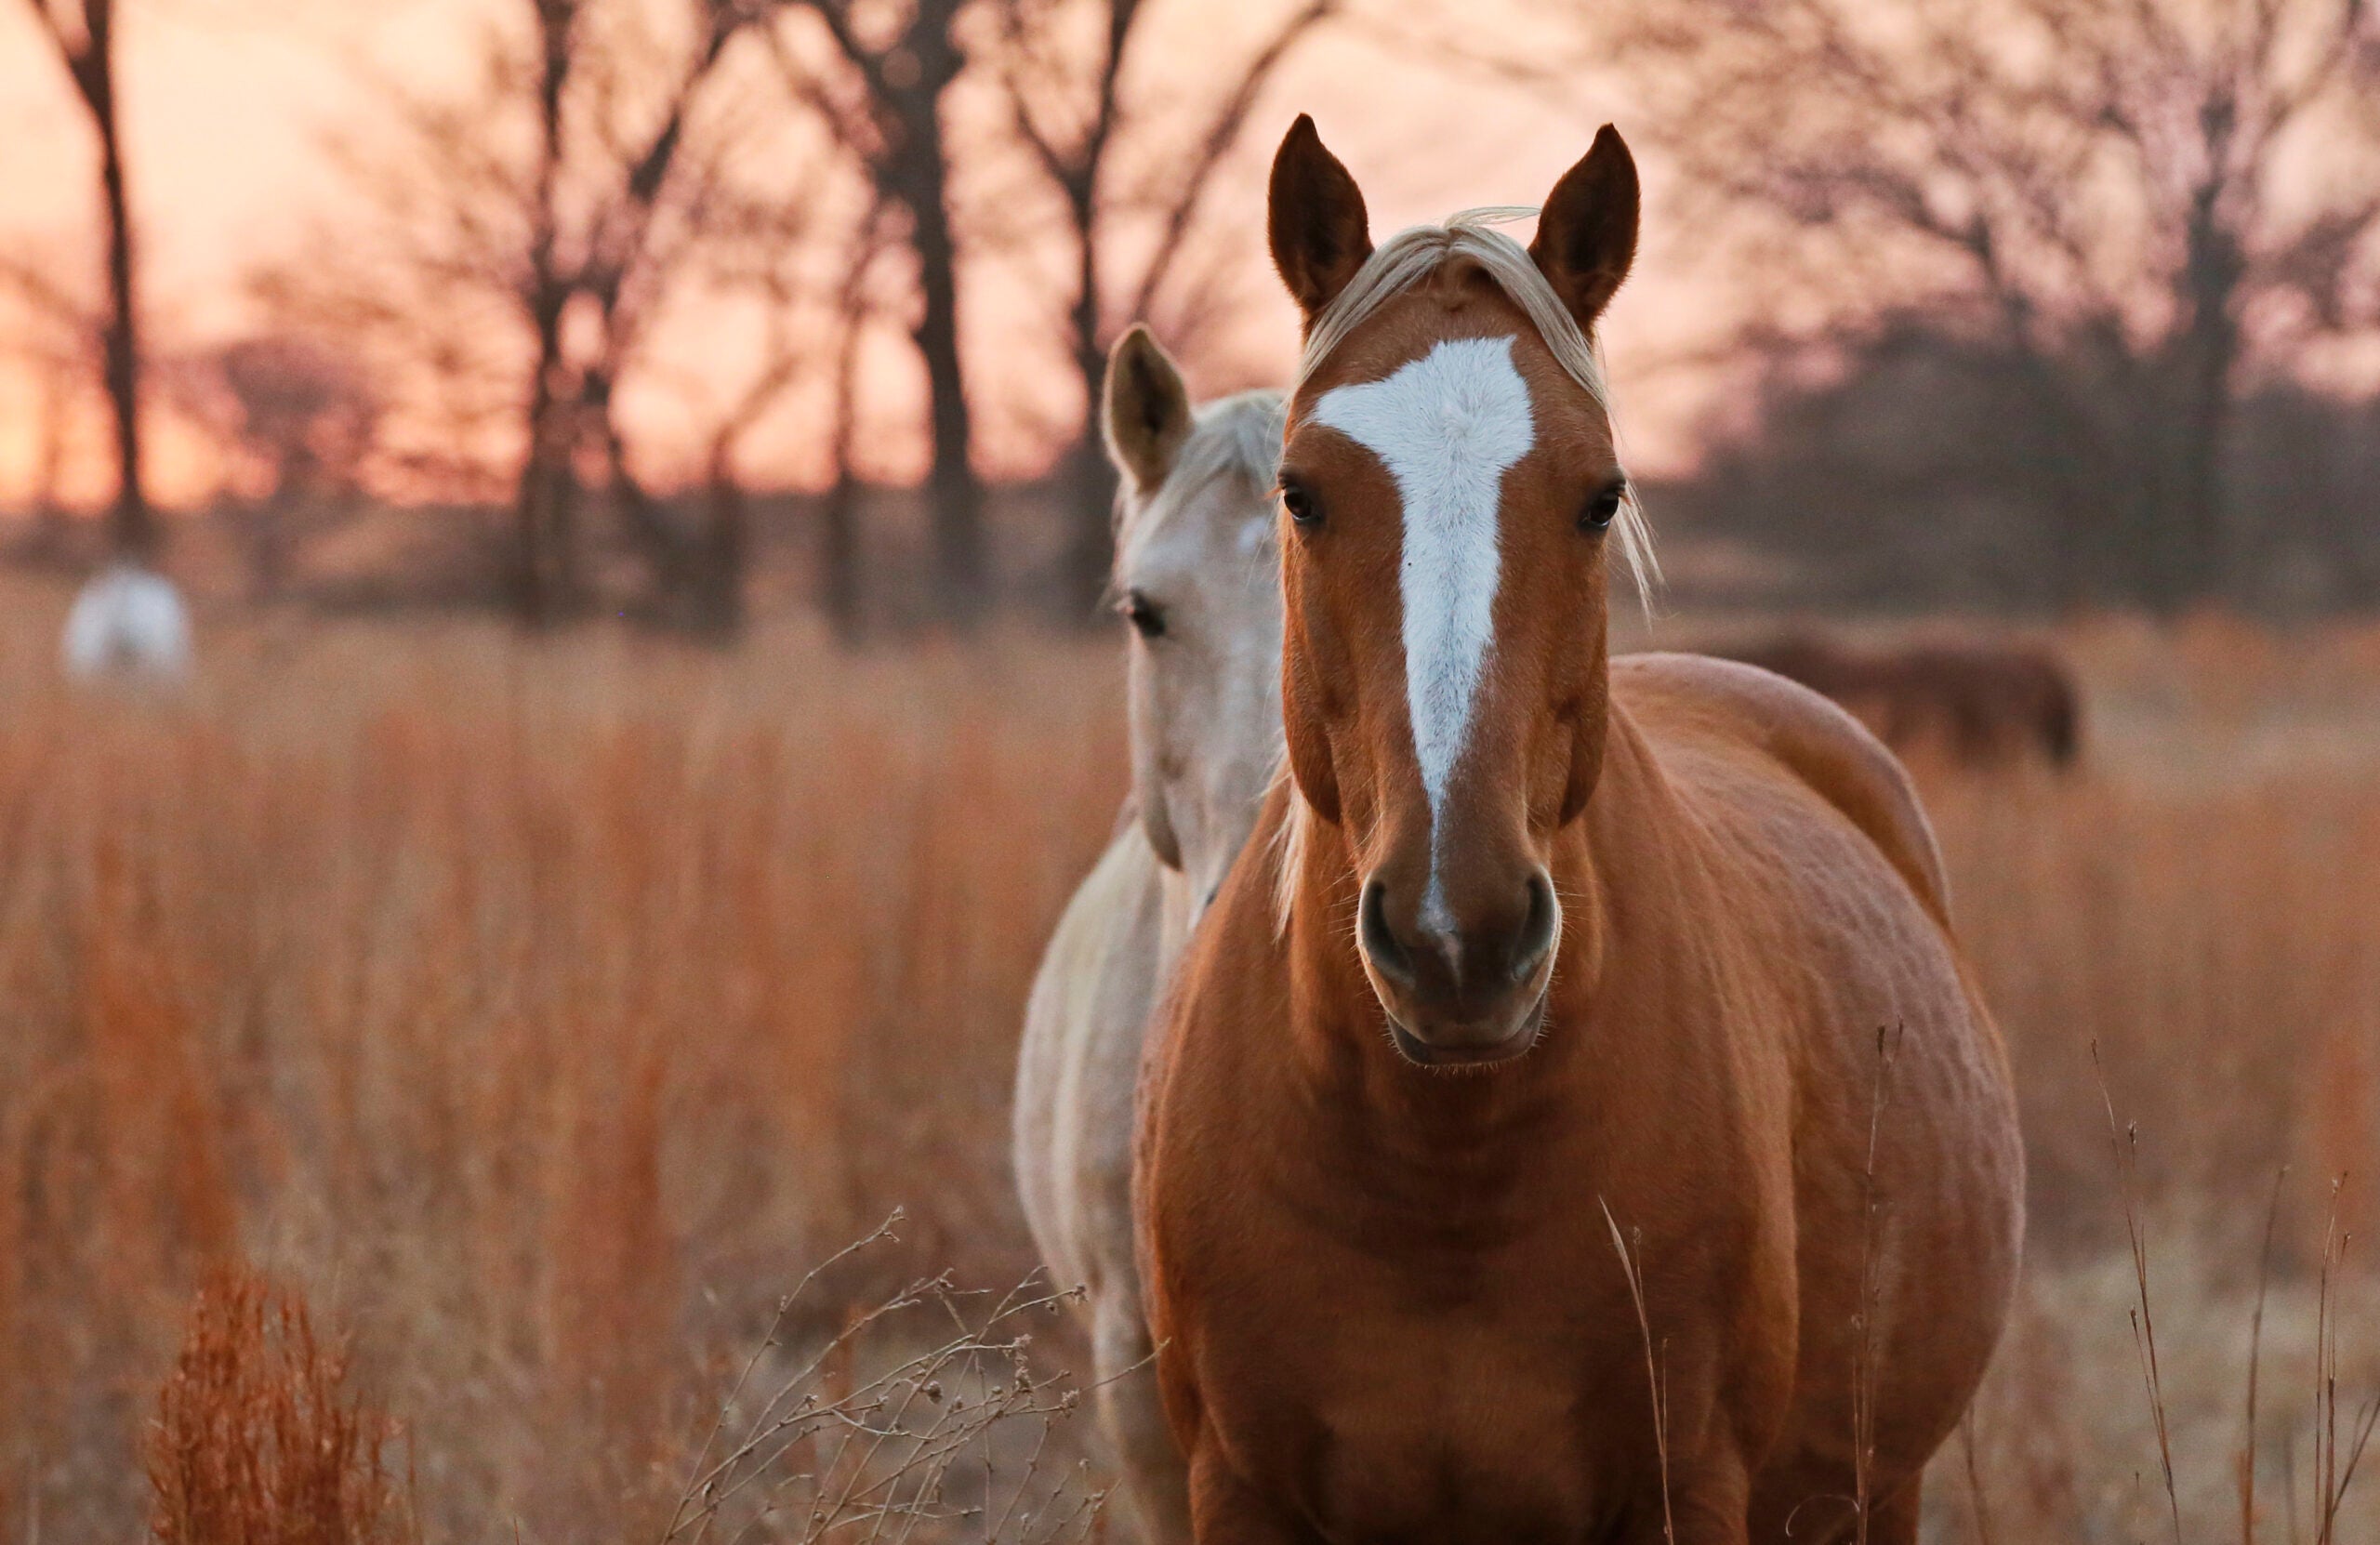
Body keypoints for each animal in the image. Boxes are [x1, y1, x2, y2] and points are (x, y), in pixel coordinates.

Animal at [1135, 117, 2024, 1545]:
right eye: (1301, 493)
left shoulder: (1687, 1488)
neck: (1441, 1166)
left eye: (1601, 495)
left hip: (1874, 1486)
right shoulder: (1238, 1490)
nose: (1459, 936)